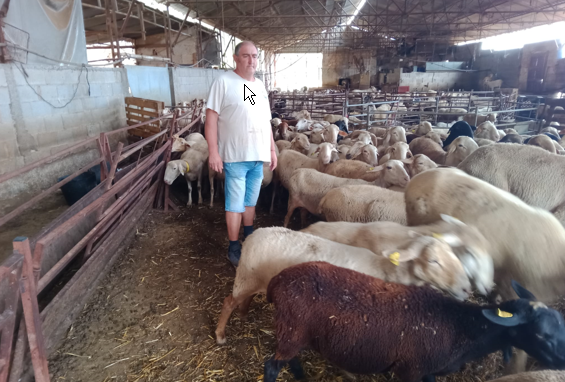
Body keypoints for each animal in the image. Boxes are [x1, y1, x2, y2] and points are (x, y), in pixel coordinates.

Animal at [214, 225, 470, 344]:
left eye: (452, 254)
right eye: (433, 261)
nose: (466, 288)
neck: (387, 271)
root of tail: (252, 235)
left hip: (254, 278)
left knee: (245, 298)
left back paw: (244, 314)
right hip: (245, 277)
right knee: (227, 303)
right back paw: (220, 335)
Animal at [264, 262, 564, 382]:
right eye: (541, 335)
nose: (562, 362)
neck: (462, 327)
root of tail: (277, 279)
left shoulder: (428, 369)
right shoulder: (410, 369)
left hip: (295, 333)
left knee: (290, 358)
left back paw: (301, 377)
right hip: (292, 328)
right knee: (271, 366)